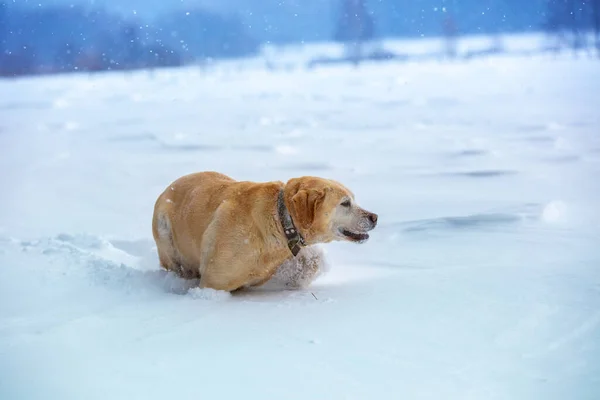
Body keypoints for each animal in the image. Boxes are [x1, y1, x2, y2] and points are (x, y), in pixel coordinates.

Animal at [152, 171, 378, 290]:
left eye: (353, 199)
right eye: (345, 203)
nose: (374, 217)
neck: (280, 219)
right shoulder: (212, 282)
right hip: (164, 231)